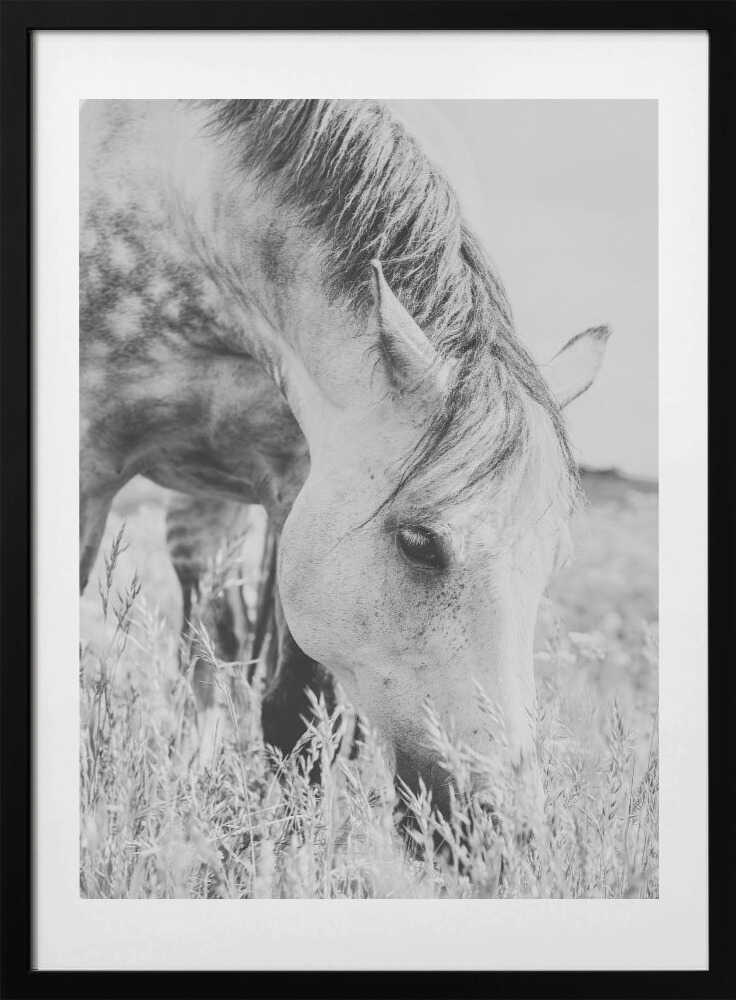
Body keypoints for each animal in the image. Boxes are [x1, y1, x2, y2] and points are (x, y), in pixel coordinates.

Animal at [80, 99, 609, 817]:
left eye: (552, 560)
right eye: (419, 542)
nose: (504, 825)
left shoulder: (299, 485)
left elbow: (296, 714)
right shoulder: (86, 466)